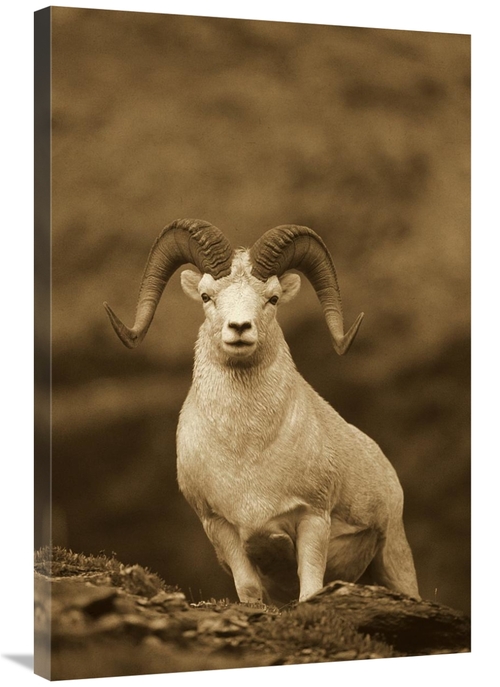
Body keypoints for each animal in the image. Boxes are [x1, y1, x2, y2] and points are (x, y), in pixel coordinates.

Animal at [104, 218, 419, 605]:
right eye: (207, 296)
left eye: (272, 298)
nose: (239, 328)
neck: (247, 453)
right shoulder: (222, 528)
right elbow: (249, 590)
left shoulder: (313, 520)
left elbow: (310, 588)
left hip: (394, 558)